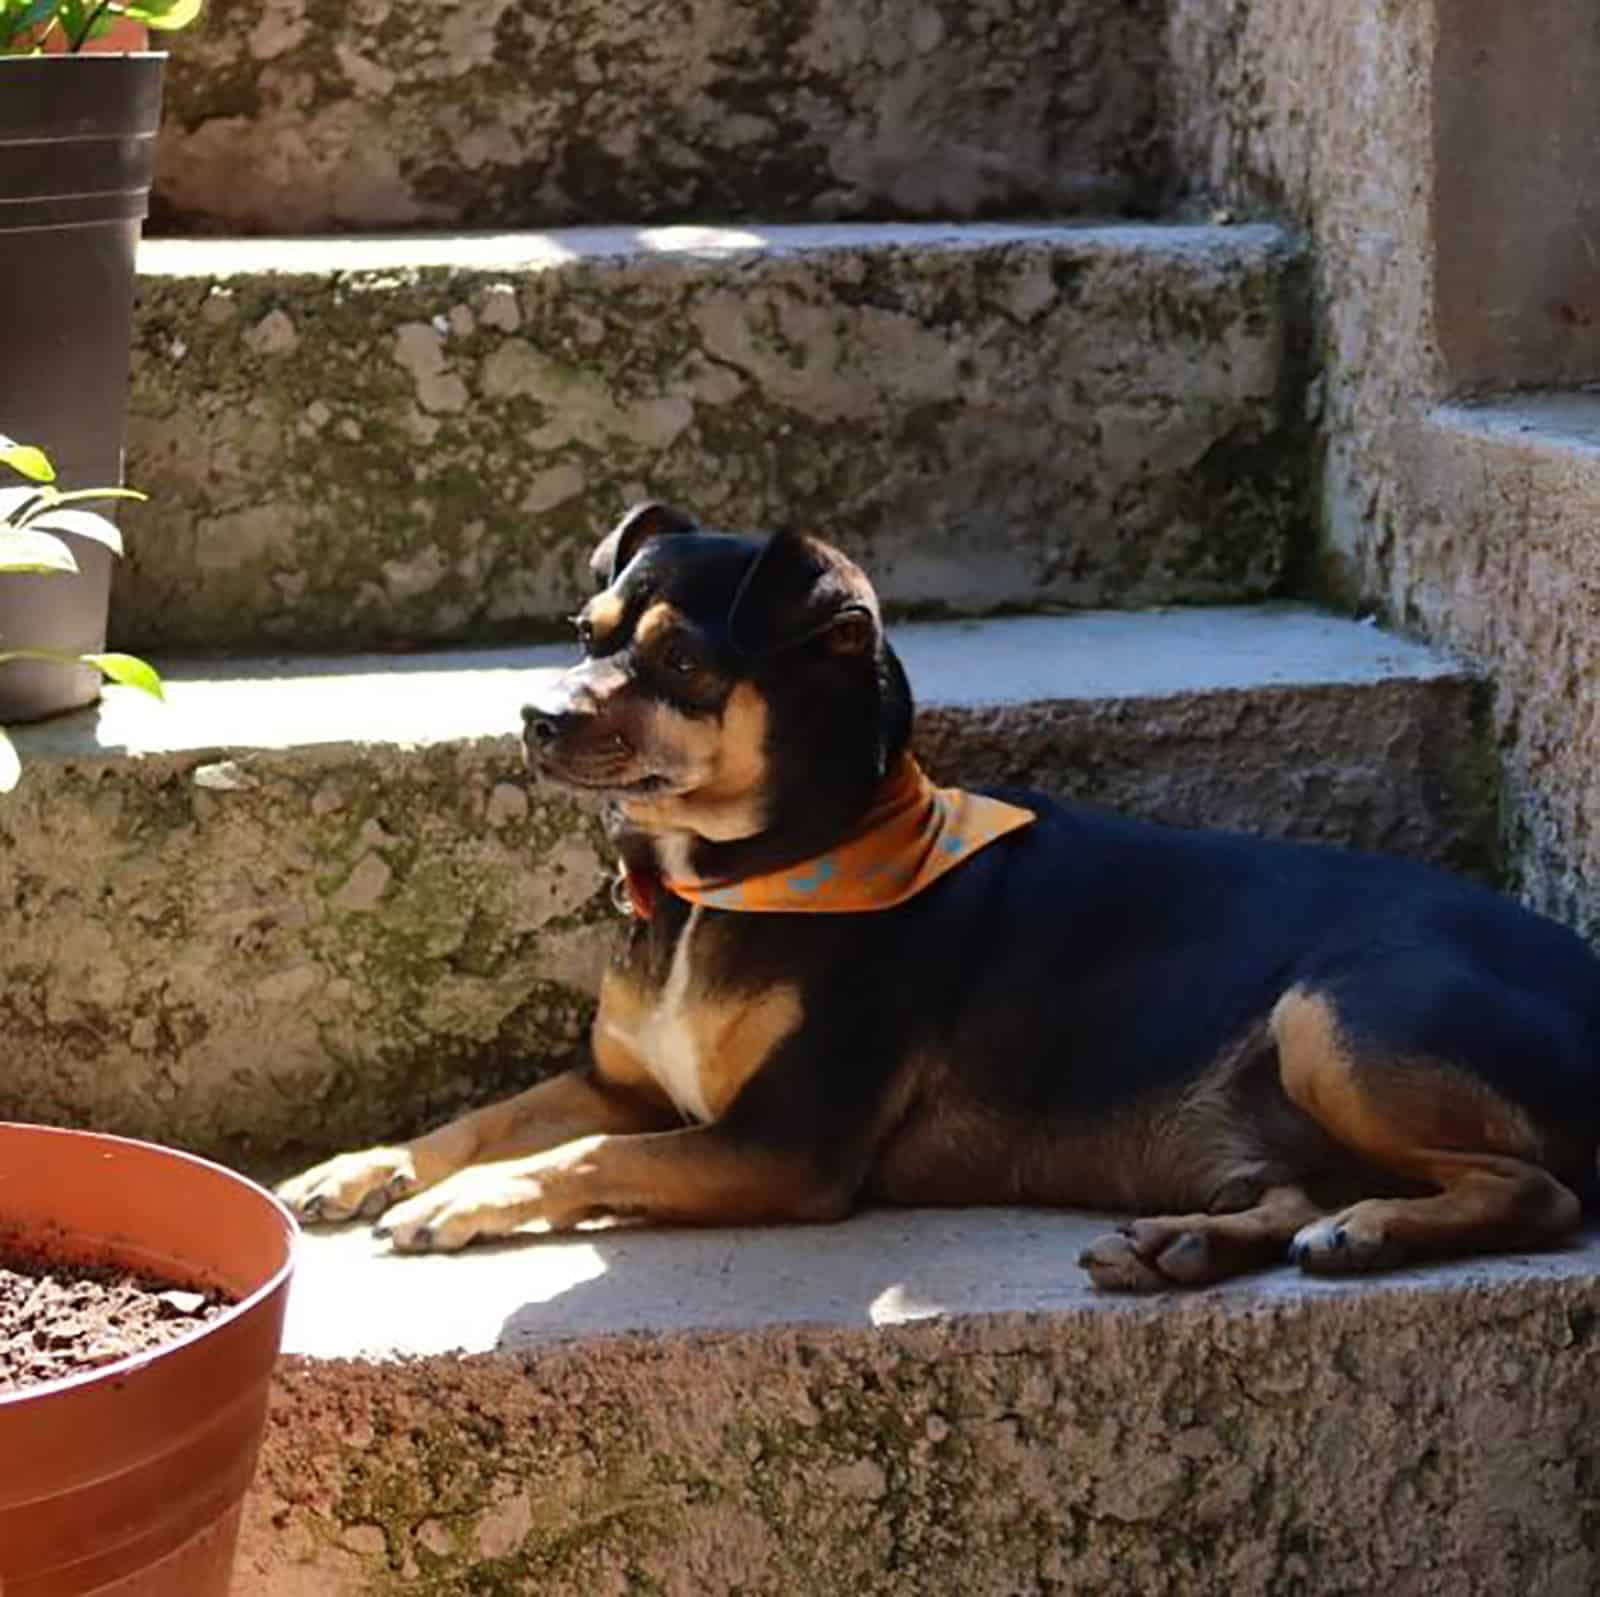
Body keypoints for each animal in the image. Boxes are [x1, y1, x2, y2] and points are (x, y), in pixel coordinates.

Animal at [281, 505, 1600, 1292]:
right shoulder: (623, 1078)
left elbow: (590, 1150)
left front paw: (469, 1199)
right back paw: (1181, 1244)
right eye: (585, 631)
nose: (534, 716)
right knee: (1288, 1190)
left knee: (1537, 1189)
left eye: (682, 663)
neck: (738, 881)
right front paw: (369, 1165)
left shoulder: (783, 1145)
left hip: (1331, 1019)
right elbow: (489, 1113)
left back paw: (1369, 1229)